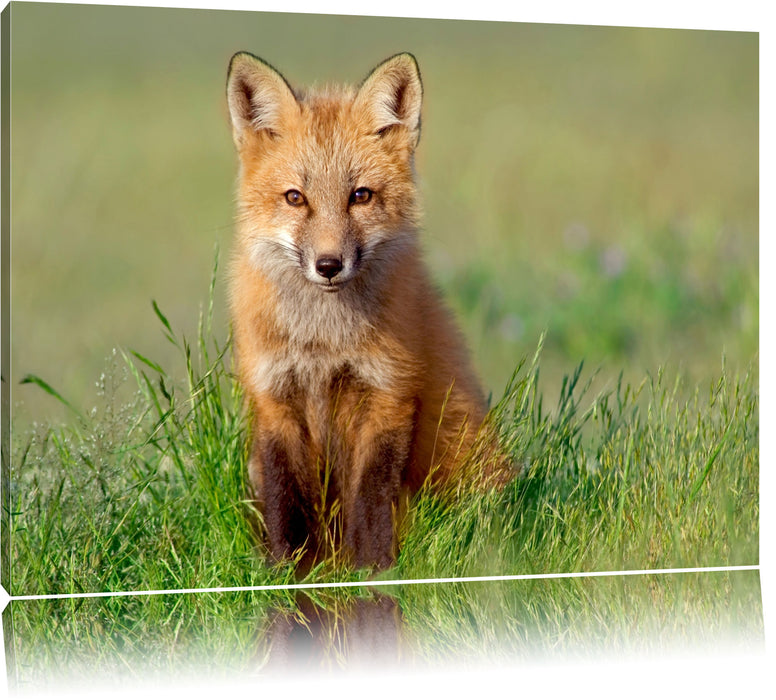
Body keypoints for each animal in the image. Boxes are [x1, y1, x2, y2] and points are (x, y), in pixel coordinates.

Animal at [226, 51, 510, 571]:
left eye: (360, 196)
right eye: (295, 198)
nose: (329, 265)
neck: (323, 343)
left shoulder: (388, 394)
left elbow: (371, 503)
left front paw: (373, 574)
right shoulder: (274, 399)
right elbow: (284, 504)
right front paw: (289, 575)